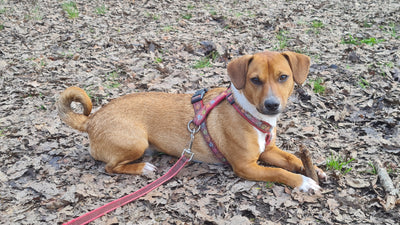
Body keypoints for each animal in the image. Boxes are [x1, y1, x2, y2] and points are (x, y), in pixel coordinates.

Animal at [57, 50, 324, 191]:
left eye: (283, 77)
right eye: (255, 80)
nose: (271, 105)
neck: (248, 112)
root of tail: (93, 120)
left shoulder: (267, 150)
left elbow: (291, 158)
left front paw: (314, 170)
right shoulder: (247, 167)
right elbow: (279, 172)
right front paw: (304, 181)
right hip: (135, 141)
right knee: (110, 167)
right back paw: (142, 168)